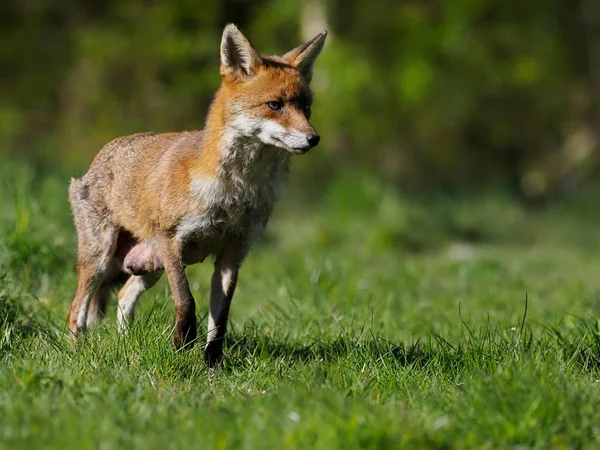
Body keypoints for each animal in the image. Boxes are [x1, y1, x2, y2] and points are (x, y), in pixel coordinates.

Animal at [69, 23, 328, 366]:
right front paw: (183, 341)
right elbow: (186, 299)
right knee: (77, 311)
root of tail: (101, 155)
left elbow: (220, 319)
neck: (235, 192)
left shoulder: (234, 252)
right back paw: (77, 352)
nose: (314, 138)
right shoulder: (170, 239)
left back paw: (124, 345)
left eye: (307, 108)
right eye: (275, 105)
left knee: (124, 296)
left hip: (149, 267)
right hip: (101, 258)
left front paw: (212, 365)